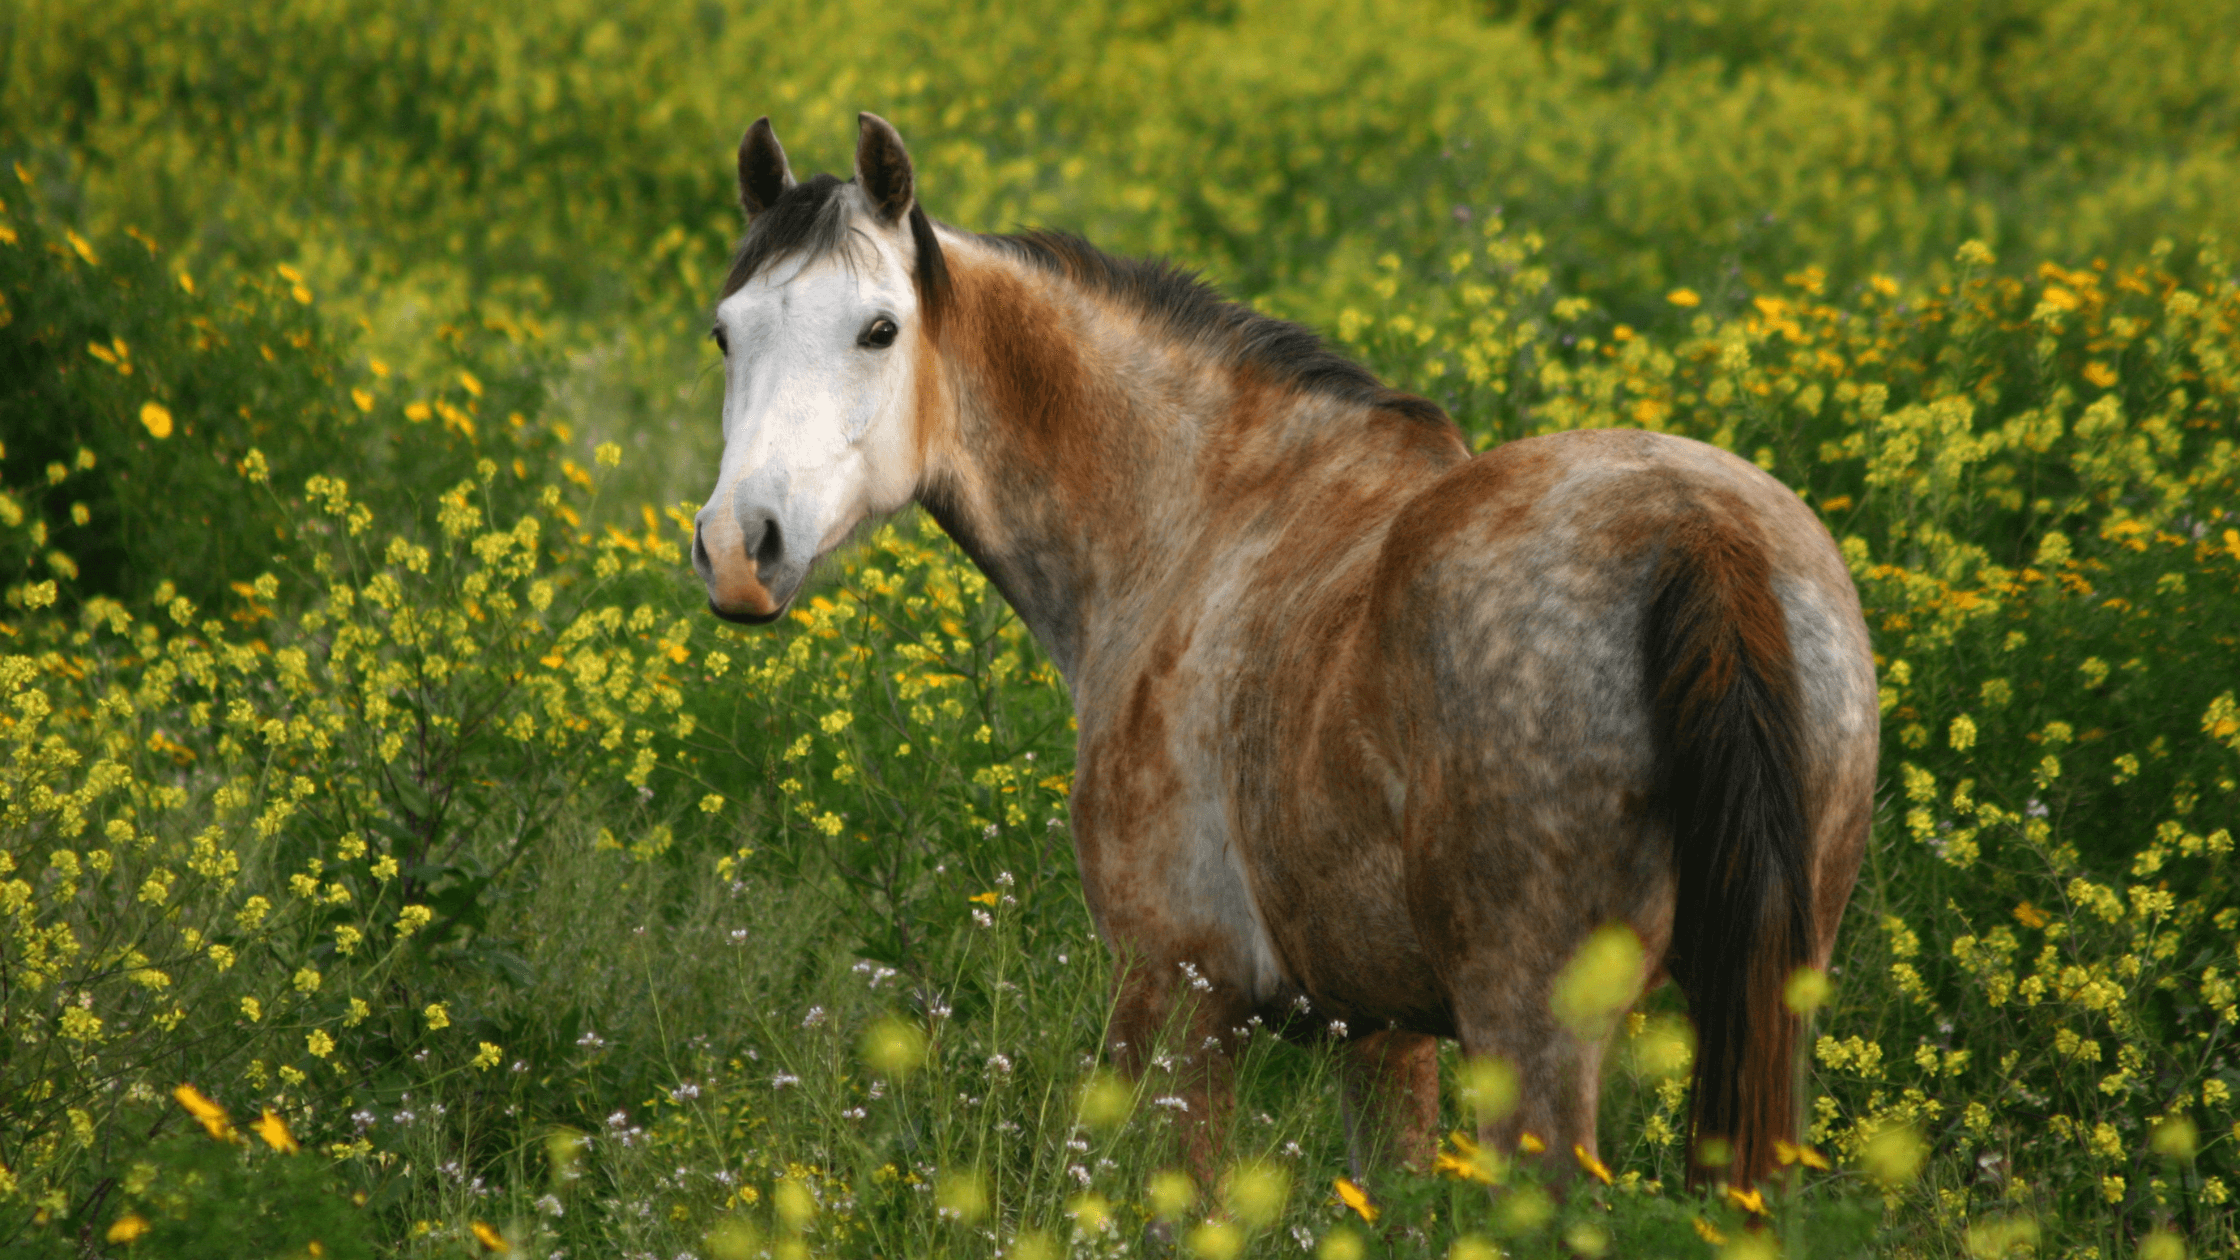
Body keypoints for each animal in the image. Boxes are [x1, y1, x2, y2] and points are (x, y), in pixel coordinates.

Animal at [689, 110, 1881, 1183]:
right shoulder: (1383, 1034)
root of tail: (1703, 535)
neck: (1200, 514)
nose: (741, 549)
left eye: (879, 330)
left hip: (1530, 1030)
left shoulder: (1176, 993)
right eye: (724, 333)